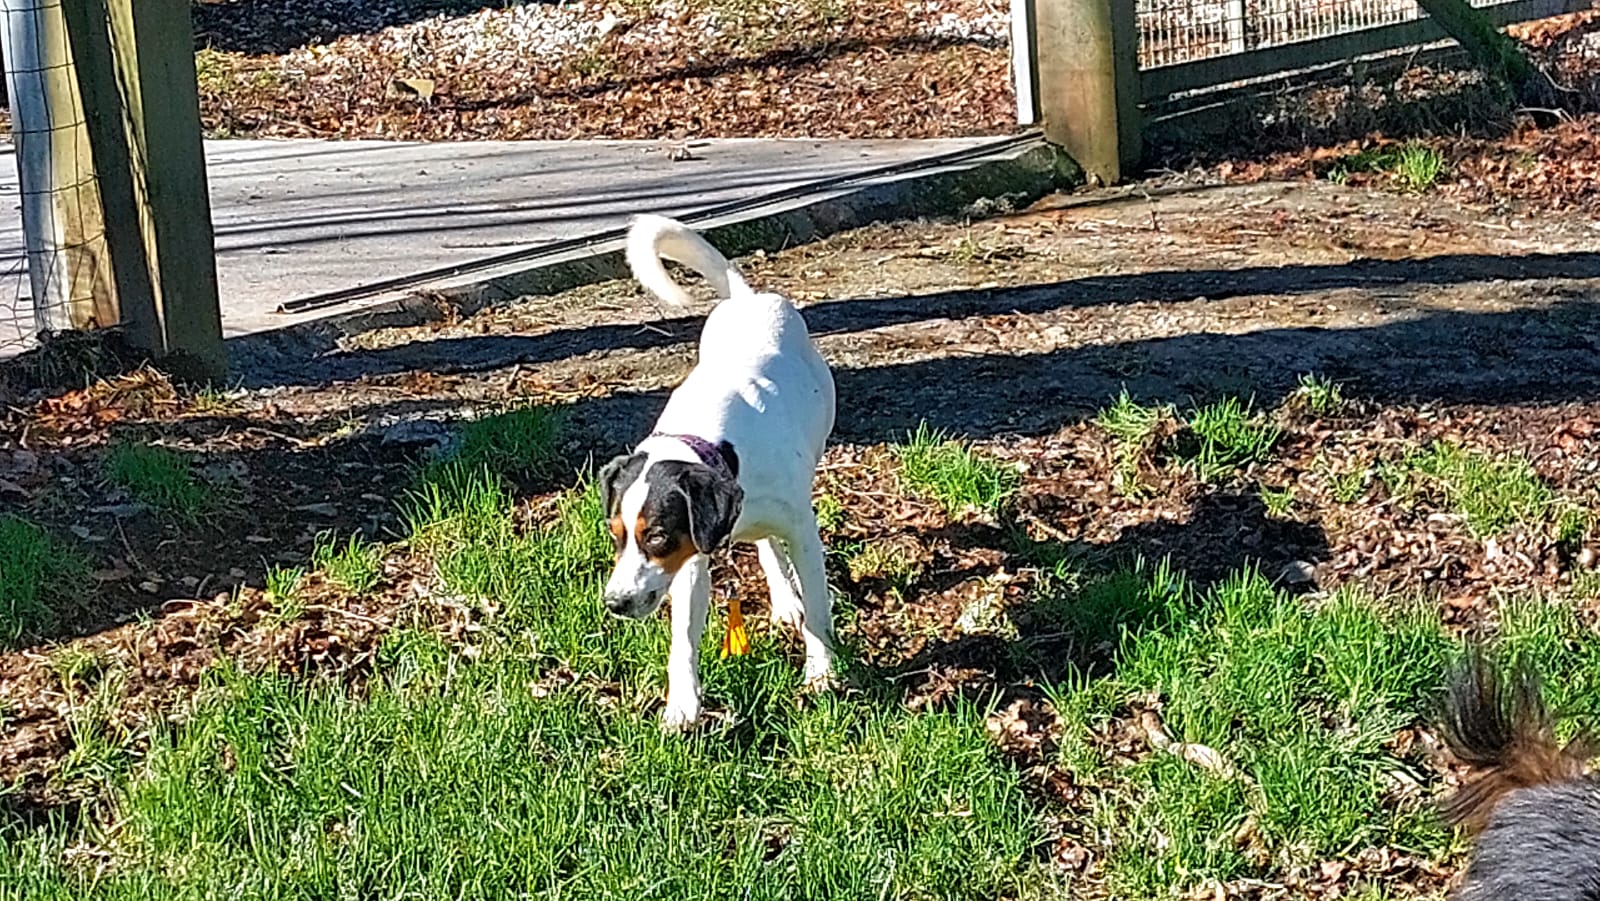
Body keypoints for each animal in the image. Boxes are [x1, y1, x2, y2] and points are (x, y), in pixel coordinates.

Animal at [598, 214, 837, 729]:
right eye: (616, 535)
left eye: (657, 536)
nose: (615, 603)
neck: (711, 439)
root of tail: (745, 299)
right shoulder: (690, 559)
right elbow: (683, 641)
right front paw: (683, 705)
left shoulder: (802, 531)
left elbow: (819, 610)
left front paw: (822, 672)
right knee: (766, 546)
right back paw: (783, 597)